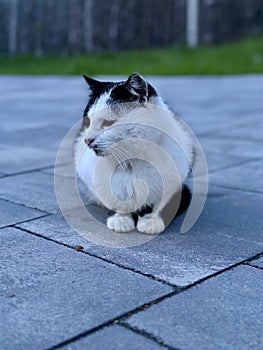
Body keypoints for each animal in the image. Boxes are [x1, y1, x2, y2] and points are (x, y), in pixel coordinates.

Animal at [75, 72, 195, 234]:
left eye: (108, 123)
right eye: (88, 122)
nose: (87, 140)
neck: (131, 159)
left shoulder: (176, 182)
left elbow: (160, 202)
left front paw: (151, 220)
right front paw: (121, 219)